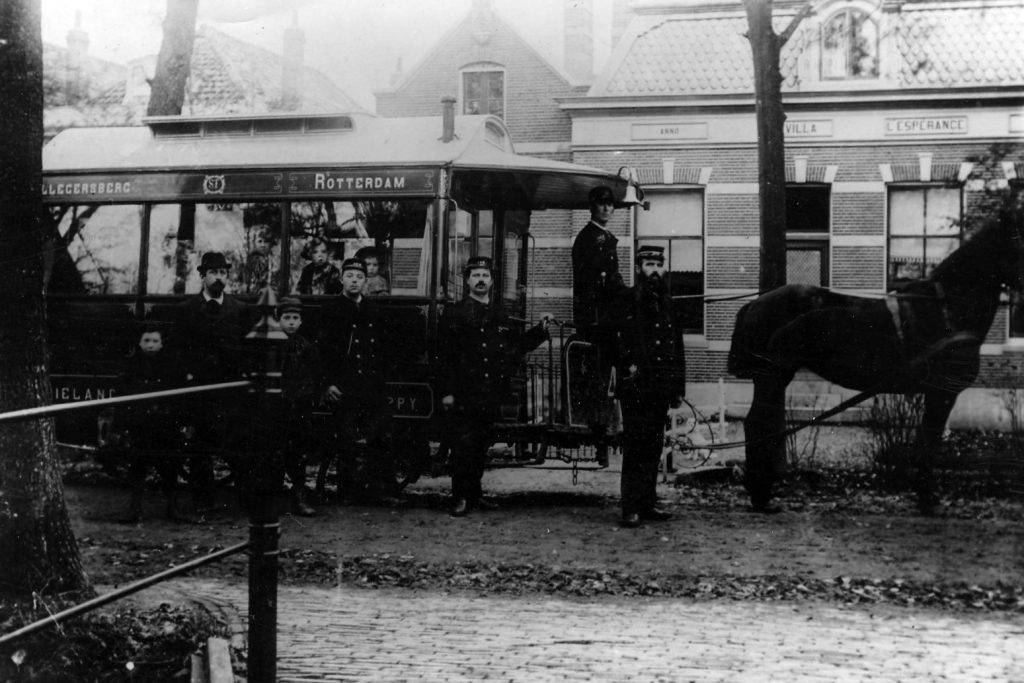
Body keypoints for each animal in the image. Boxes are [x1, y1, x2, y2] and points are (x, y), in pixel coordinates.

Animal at [729, 202, 1024, 511]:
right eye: (1018, 239)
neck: (945, 309)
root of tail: (754, 304)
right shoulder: (942, 392)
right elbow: (929, 443)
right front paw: (927, 499)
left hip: (774, 377)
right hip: (773, 375)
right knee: (757, 423)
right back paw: (759, 494)